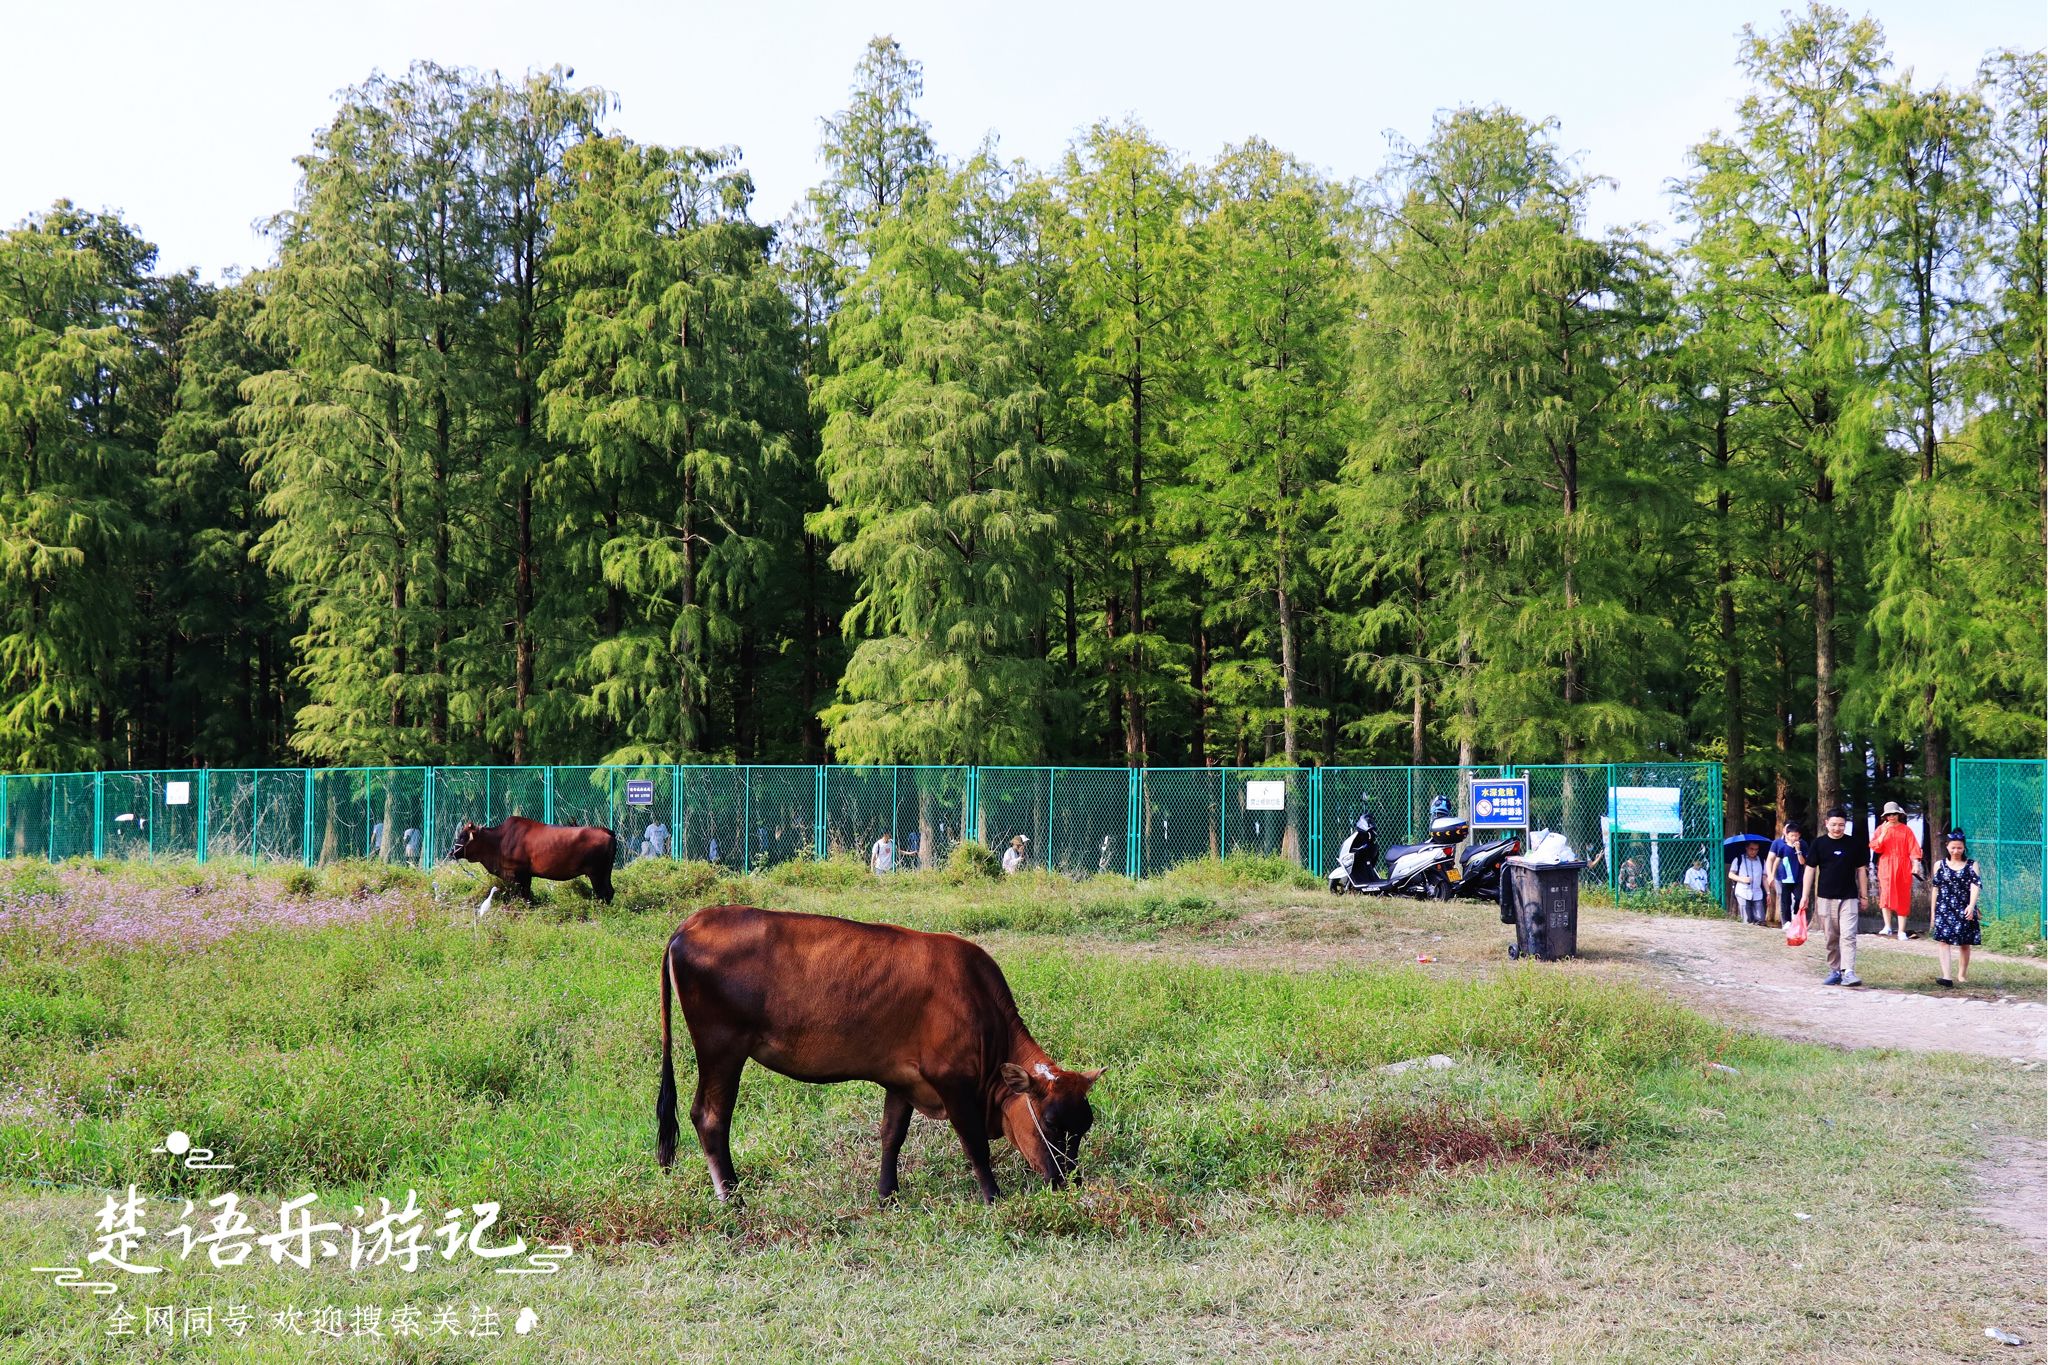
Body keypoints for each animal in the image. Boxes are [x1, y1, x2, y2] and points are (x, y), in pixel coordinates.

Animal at [444, 818, 610, 900]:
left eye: (463, 836)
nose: (451, 852)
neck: (498, 841)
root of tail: (607, 831)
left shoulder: (517, 874)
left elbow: (521, 895)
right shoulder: (527, 876)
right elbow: (527, 896)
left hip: (596, 874)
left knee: (603, 893)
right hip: (605, 873)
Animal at [655, 908, 1105, 1203]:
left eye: (1084, 1126)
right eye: (1050, 1123)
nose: (1068, 1182)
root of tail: (690, 923)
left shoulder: (902, 1079)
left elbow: (892, 1135)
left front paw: (888, 1194)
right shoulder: (952, 1082)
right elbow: (975, 1143)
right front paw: (993, 1196)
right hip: (721, 1049)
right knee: (710, 1117)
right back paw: (733, 1197)